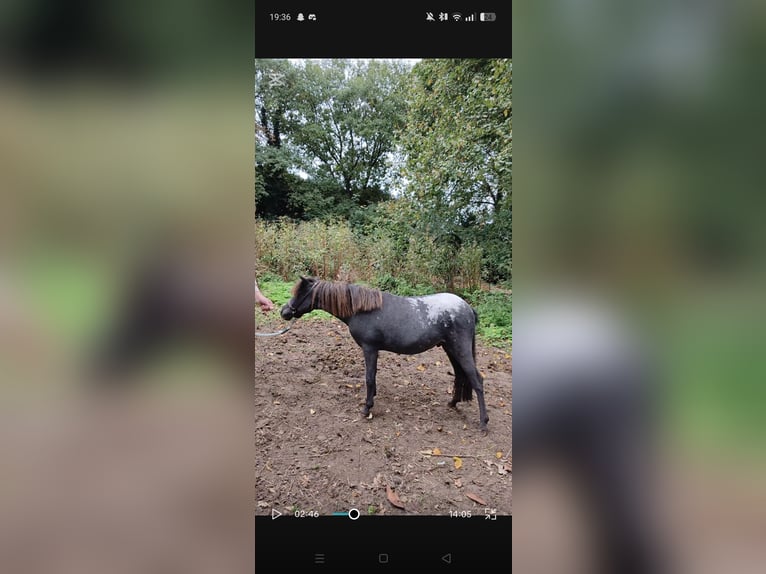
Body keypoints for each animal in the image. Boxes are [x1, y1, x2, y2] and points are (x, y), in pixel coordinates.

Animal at [280, 276, 490, 432]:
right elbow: (373, 378)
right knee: (460, 375)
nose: (284, 311)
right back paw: (453, 403)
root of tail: (467, 308)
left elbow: (369, 378)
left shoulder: (369, 349)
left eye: (300, 292)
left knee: (477, 380)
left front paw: (366, 408)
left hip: (460, 349)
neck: (361, 310)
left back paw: (483, 422)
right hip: (450, 349)